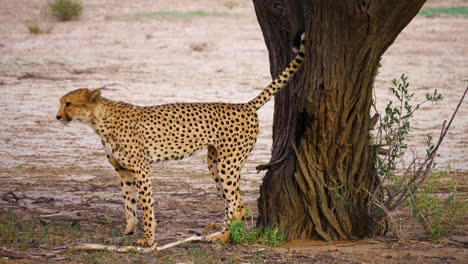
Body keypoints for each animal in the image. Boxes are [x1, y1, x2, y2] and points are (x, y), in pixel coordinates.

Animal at [56, 34, 306, 246]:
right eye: (61, 102)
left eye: (68, 103)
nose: (57, 116)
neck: (99, 120)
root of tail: (244, 105)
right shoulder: (124, 171)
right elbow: (129, 203)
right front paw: (128, 230)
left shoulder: (141, 169)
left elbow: (145, 206)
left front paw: (148, 240)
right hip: (215, 163)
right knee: (232, 202)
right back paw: (220, 234)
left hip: (228, 164)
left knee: (237, 205)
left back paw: (224, 238)